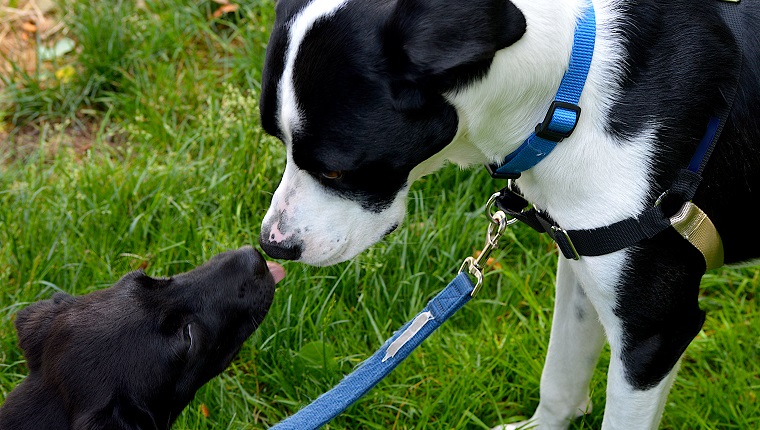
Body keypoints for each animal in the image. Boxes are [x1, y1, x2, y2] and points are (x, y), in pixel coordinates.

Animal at [256, 0, 760, 426]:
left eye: (335, 169)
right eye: (278, 142)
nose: (272, 245)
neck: (569, 98)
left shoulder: (654, 334)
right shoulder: (581, 264)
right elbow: (559, 377)